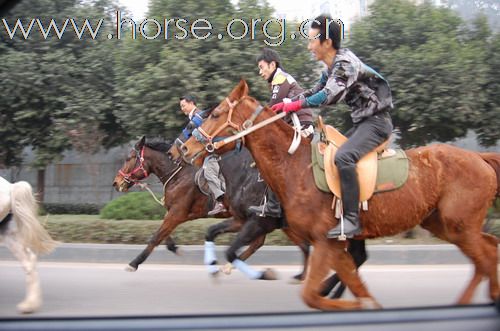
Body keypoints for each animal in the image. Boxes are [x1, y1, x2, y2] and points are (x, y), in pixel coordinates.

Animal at [178, 80, 498, 312]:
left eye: (214, 114)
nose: (183, 149)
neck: (296, 167)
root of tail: (480, 158)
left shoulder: (319, 239)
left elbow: (311, 293)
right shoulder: (326, 242)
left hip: (459, 226)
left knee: (484, 257)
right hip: (443, 224)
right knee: (488, 250)